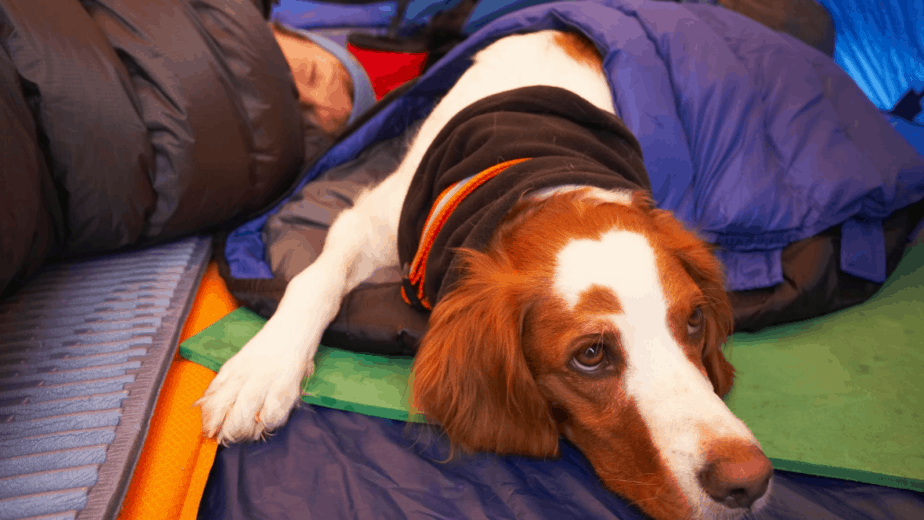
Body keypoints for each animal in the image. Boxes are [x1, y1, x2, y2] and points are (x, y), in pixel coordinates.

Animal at [200, 29, 772, 520]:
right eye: (590, 355)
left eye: (695, 321)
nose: (748, 482)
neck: (546, 181)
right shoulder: (372, 219)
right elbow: (314, 280)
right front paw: (261, 369)